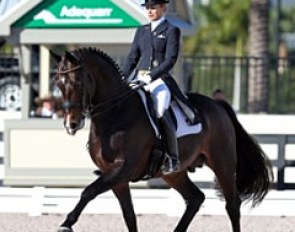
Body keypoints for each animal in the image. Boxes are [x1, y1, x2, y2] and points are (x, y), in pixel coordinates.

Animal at [51, 47, 276, 232]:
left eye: (78, 82)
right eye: (58, 84)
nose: (71, 124)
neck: (116, 114)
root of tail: (218, 105)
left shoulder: (122, 169)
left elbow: (88, 191)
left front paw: (65, 224)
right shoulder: (116, 177)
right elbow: (129, 215)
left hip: (223, 163)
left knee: (232, 205)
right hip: (174, 173)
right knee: (195, 198)